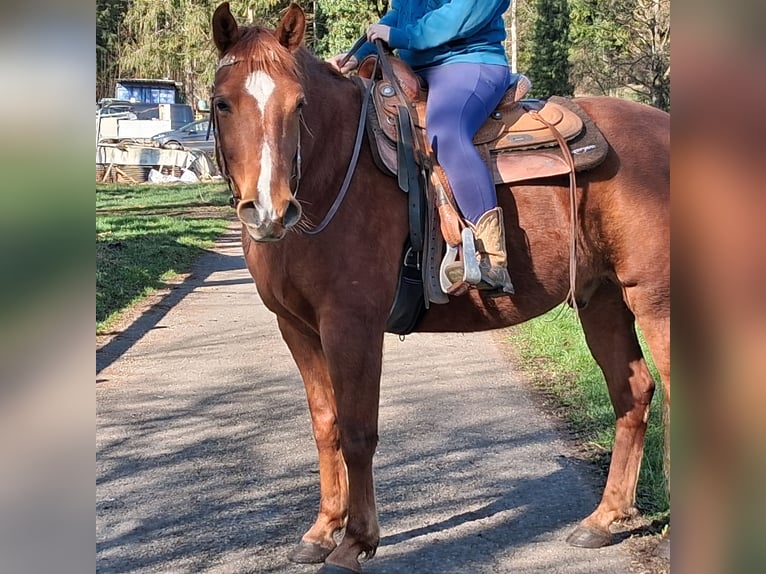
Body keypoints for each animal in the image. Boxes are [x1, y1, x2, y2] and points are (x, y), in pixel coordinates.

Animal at [210, 3, 670, 572]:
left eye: (299, 105)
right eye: (222, 103)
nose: (270, 210)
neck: (334, 170)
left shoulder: (352, 325)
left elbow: (358, 432)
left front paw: (356, 541)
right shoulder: (296, 327)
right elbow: (326, 425)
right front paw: (321, 531)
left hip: (657, 302)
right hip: (603, 299)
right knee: (633, 392)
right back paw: (604, 521)